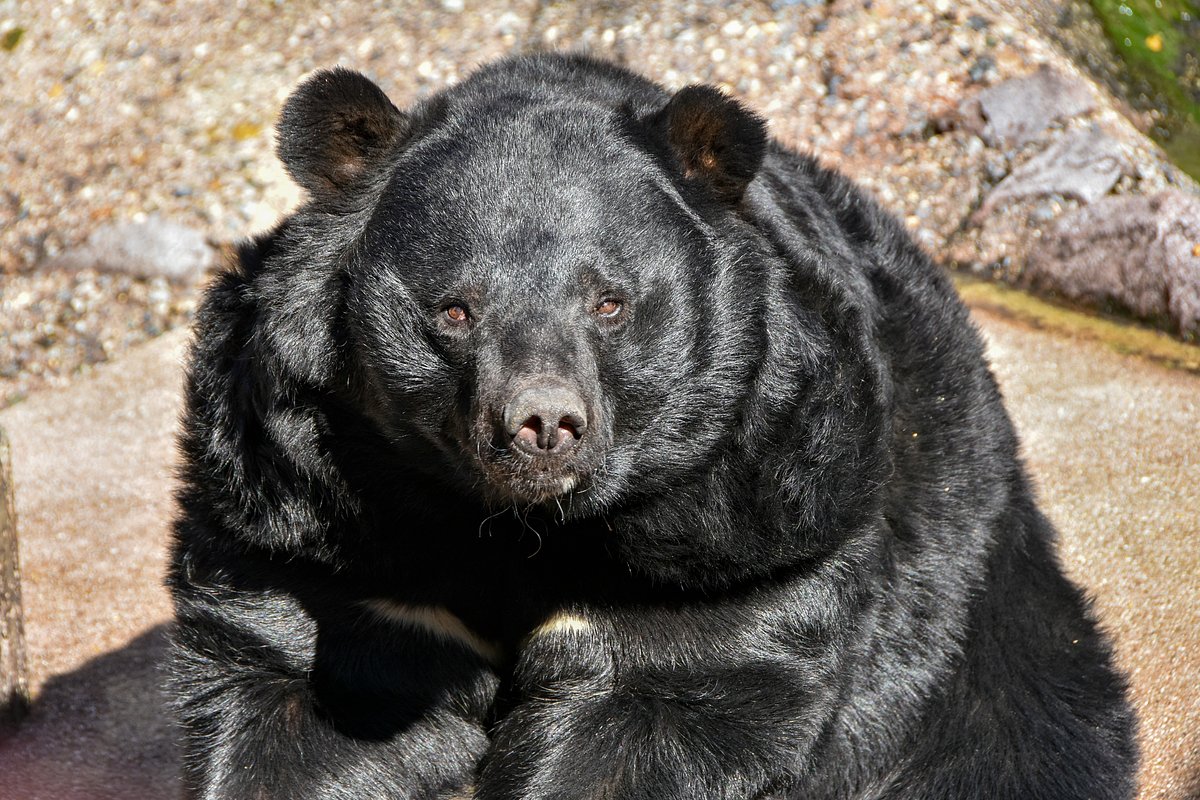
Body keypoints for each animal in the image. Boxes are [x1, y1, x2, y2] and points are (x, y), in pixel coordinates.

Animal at [167, 53, 1137, 800]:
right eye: (453, 311)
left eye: (610, 303)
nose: (542, 425)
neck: (517, 529)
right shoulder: (312, 526)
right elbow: (304, 701)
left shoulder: (749, 542)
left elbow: (655, 700)